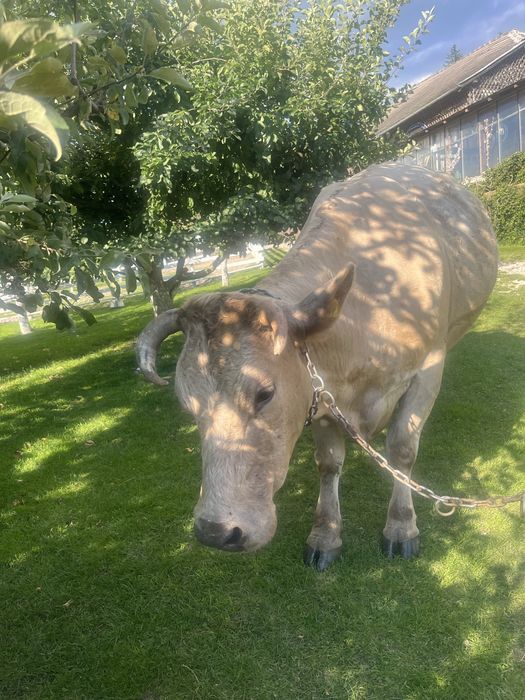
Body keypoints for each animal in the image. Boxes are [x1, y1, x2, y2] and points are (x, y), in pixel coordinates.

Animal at [137, 163, 498, 570]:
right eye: (188, 404)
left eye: (265, 393)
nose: (216, 531)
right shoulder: (323, 392)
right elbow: (328, 463)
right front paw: (325, 535)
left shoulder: (428, 368)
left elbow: (403, 448)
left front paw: (401, 526)